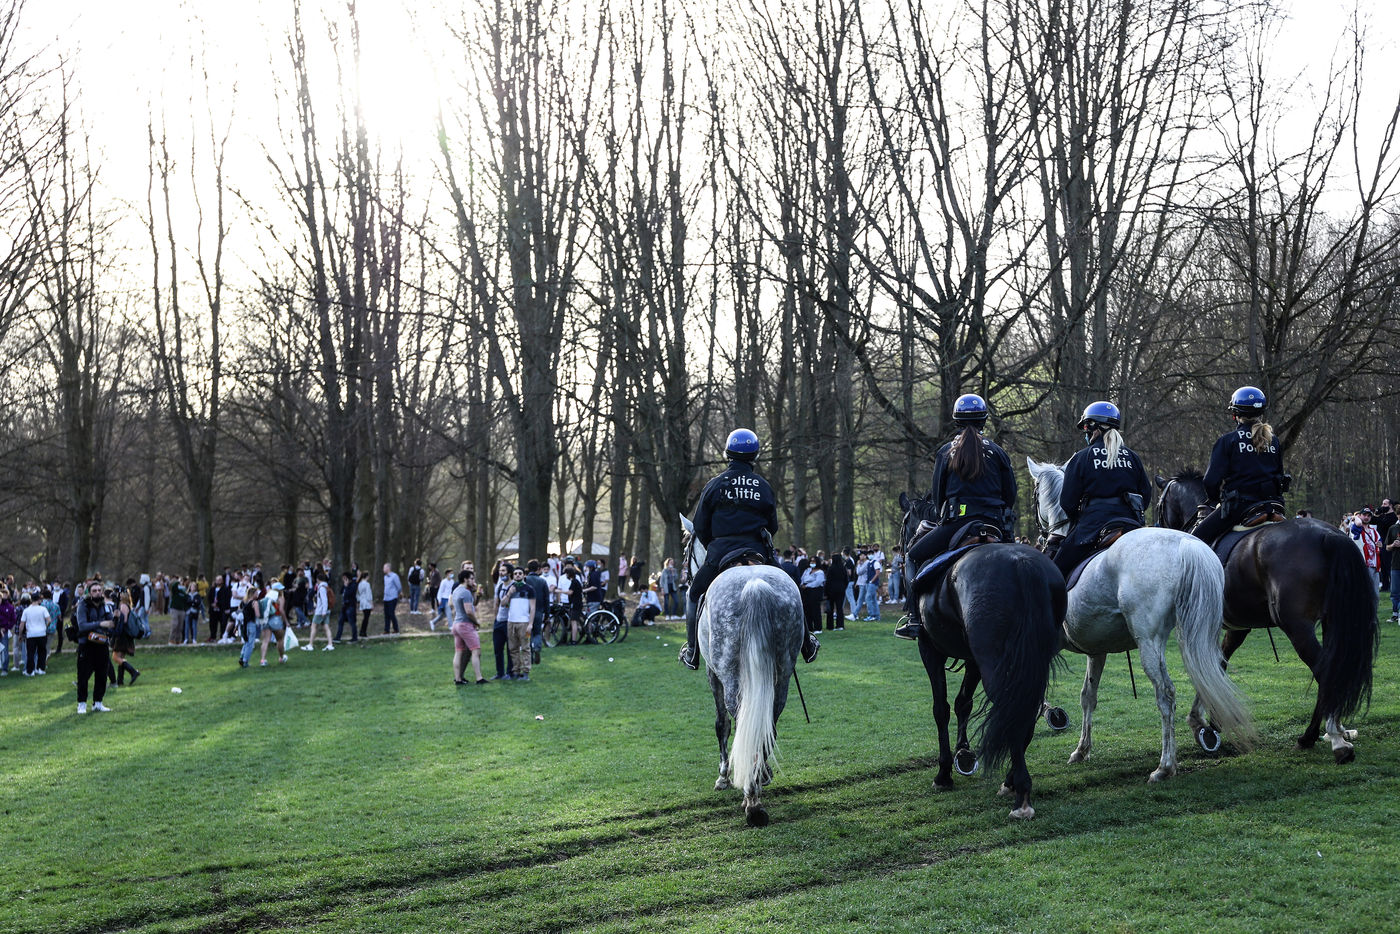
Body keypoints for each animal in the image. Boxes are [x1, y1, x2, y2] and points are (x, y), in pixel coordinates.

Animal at [680, 514, 805, 826]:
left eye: (686, 550)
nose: (683, 576)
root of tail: (755, 585)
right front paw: (763, 773)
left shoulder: (712, 674)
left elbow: (721, 724)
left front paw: (723, 777)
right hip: (782, 673)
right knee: (769, 717)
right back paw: (758, 778)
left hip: (729, 675)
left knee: (737, 718)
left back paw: (752, 799)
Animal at [898, 491, 1064, 819]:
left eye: (903, 525)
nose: (902, 551)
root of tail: (1021, 564)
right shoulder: (972, 658)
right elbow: (963, 703)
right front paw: (963, 754)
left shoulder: (930, 651)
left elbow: (941, 708)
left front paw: (944, 772)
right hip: (1030, 660)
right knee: (1026, 708)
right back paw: (1012, 781)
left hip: (996, 662)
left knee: (1011, 709)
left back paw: (1020, 793)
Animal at [1027, 458, 1256, 781]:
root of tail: (1187, 545)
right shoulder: (1096, 651)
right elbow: (1088, 696)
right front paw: (1081, 750)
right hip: (1202, 634)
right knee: (1211, 671)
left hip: (1149, 641)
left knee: (1166, 693)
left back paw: (1165, 766)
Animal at [1156, 471, 1379, 763]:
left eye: (1158, 504)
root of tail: (1330, 536)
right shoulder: (1236, 628)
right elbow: (1219, 663)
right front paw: (1214, 722)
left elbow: (1207, 666)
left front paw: (1201, 724)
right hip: (1332, 622)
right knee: (1332, 669)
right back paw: (1326, 733)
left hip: (1297, 627)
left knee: (1323, 671)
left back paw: (1329, 740)